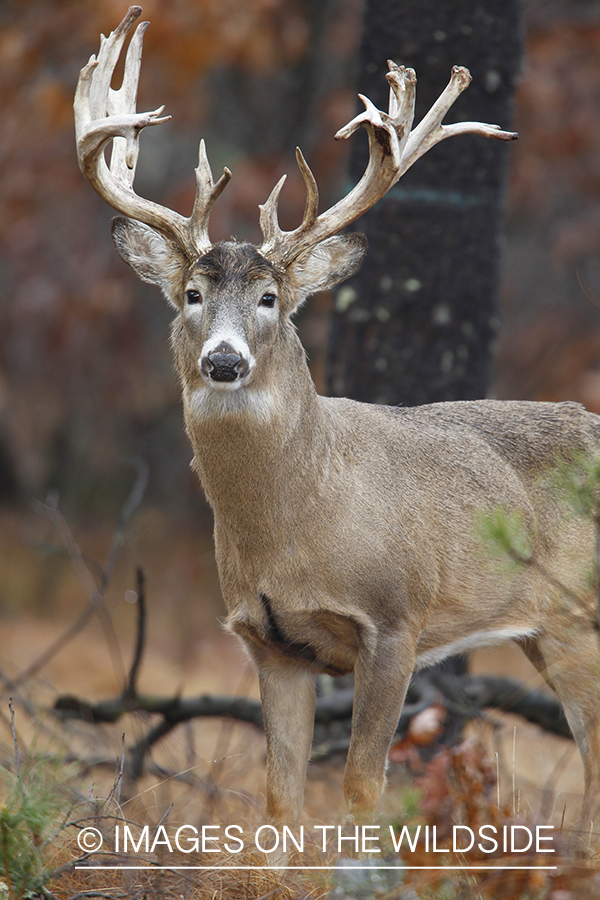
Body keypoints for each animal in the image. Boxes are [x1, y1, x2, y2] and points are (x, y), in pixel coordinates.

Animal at [76, 8, 600, 852]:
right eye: (191, 294)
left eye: (270, 299)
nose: (224, 361)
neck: (297, 526)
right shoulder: (268, 642)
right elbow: (280, 798)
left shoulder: (395, 619)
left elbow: (362, 785)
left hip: (573, 614)